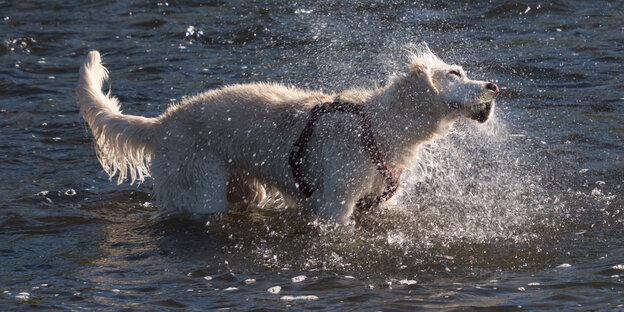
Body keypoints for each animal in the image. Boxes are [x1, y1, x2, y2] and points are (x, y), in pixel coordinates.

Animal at [77, 46, 498, 224]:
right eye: (454, 74)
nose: (494, 86)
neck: (378, 126)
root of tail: (163, 123)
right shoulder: (335, 204)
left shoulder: (377, 202)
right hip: (202, 187)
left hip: (244, 187)